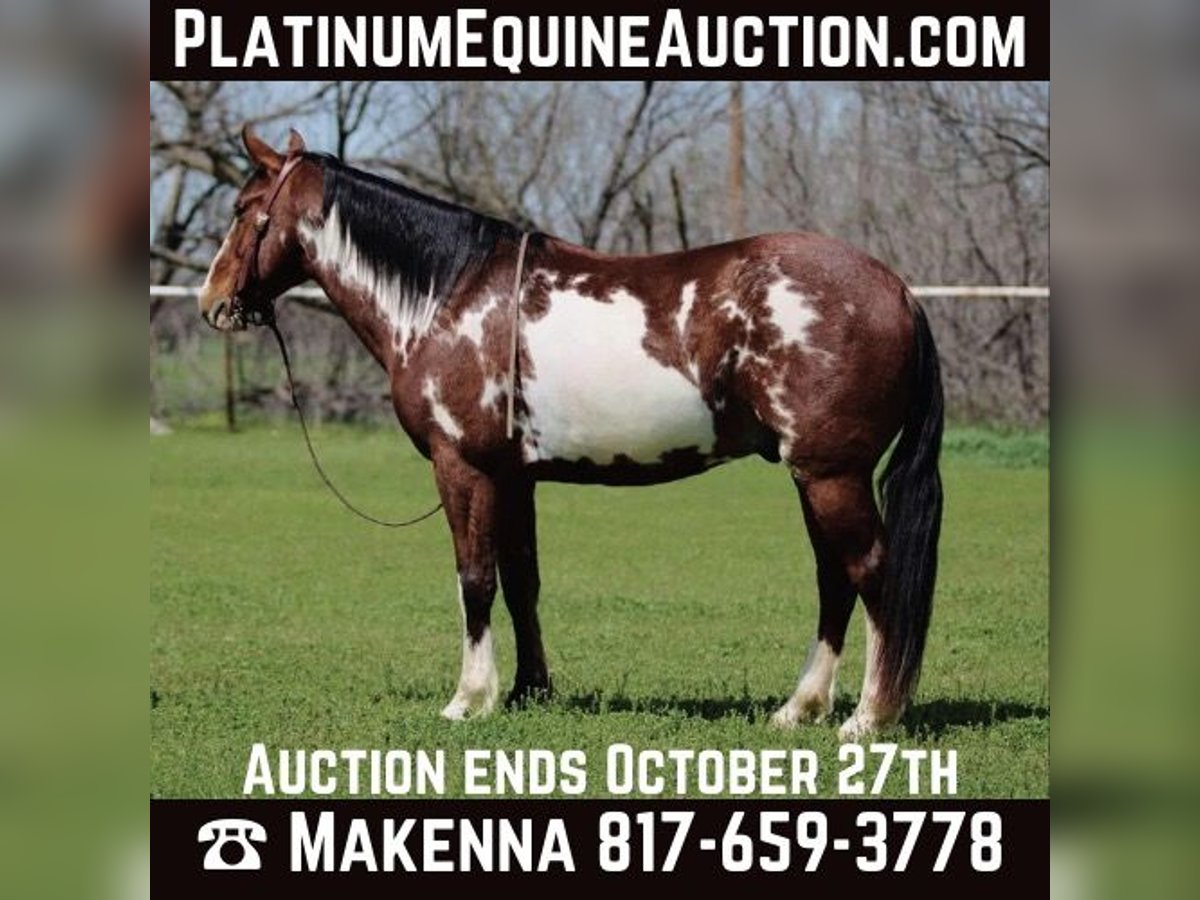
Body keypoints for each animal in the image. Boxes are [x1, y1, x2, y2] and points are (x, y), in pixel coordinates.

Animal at [198, 126, 943, 739]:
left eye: (240, 210)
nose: (211, 303)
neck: (450, 297)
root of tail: (898, 290)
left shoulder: (462, 467)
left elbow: (475, 578)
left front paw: (468, 699)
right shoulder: (514, 476)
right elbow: (521, 579)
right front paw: (530, 691)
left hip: (832, 475)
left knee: (871, 574)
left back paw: (868, 717)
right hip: (813, 475)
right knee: (833, 578)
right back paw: (800, 709)